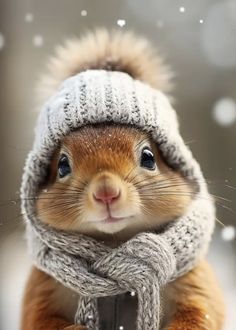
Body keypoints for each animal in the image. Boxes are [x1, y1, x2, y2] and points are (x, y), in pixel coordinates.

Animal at [20, 29, 225, 328]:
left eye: (149, 157)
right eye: (62, 166)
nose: (106, 192)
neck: (116, 242)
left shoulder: (194, 282)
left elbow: (201, 315)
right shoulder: (43, 288)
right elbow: (40, 319)